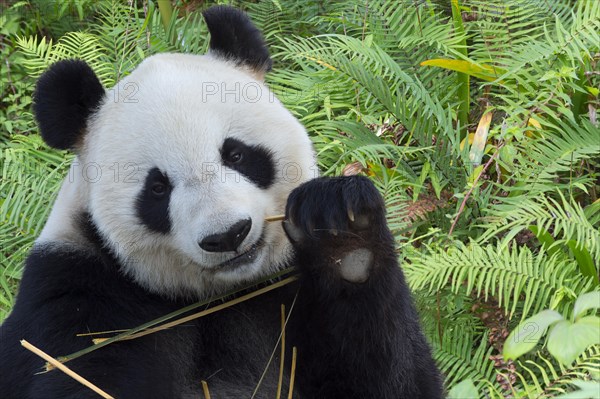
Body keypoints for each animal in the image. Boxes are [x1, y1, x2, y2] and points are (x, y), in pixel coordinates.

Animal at [0, 6, 440, 399]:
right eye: (157, 188)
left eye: (237, 154)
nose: (228, 235)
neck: (219, 296)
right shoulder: (78, 295)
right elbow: (78, 373)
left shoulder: (288, 291)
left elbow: (393, 380)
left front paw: (341, 236)